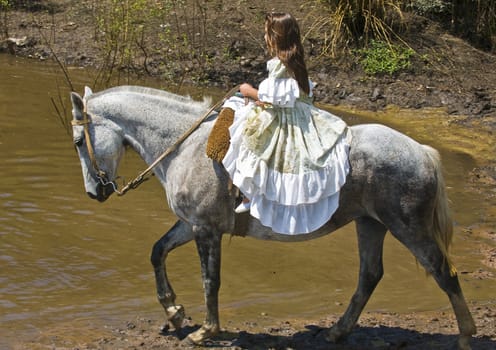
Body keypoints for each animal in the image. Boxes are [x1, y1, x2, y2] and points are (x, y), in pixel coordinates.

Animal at [70, 86, 476, 348]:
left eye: (77, 141)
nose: (95, 192)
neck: (187, 147)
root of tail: (419, 151)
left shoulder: (205, 230)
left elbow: (210, 280)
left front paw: (206, 330)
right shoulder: (190, 225)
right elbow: (157, 252)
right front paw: (174, 312)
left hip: (408, 227)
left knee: (444, 273)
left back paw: (466, 335)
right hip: (371, 225)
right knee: (370, 276)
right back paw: (337, 332)